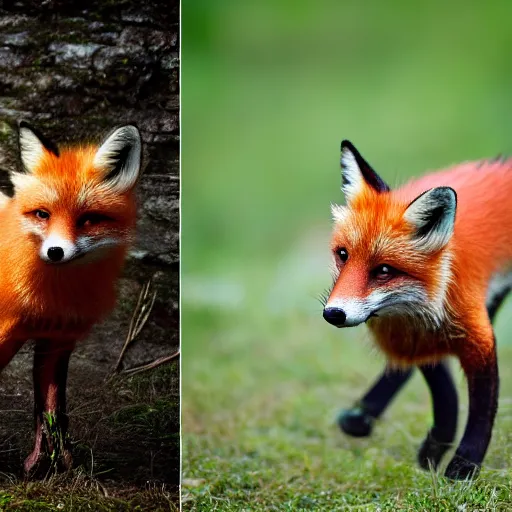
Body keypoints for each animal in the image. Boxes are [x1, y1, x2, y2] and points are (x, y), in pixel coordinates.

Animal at [0, 121, 142, 476]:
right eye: (42, 214)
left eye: (88, 219)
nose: (55, 252)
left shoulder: (57, 341)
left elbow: (52, 412)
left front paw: (51, 467)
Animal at [322, 141, 510, 480]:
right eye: (343, 255)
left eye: (384, 270)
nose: (333, 314)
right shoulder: (413, 339)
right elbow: (444, 393)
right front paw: (436, 449)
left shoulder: (476, 335)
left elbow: (482, 407)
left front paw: (463, 466)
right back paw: (363, 414)